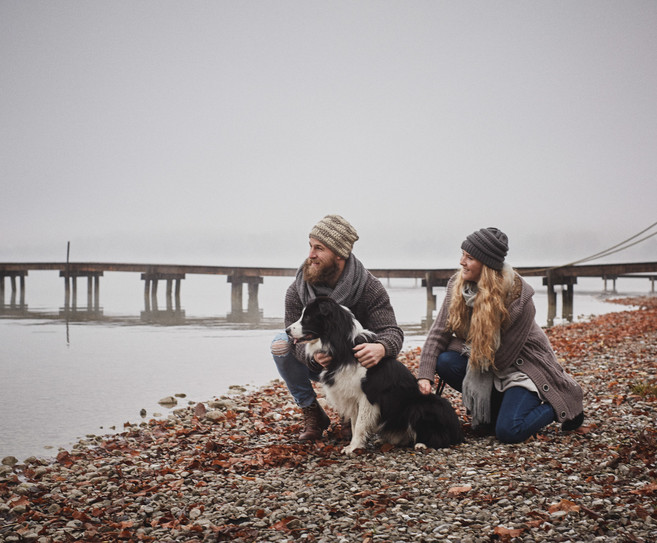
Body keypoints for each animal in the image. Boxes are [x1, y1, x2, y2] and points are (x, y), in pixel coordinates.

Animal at [286, 298, 462, 454]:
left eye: (308, 317)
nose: (287, 330)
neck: (342, 345)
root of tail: (457, 431)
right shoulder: (353, 396)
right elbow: (354, 423)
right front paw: (355, 444)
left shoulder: (367, 395)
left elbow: (360, 423)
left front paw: (353, 447)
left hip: (424, 404)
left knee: (440, 437)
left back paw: (422, 444)